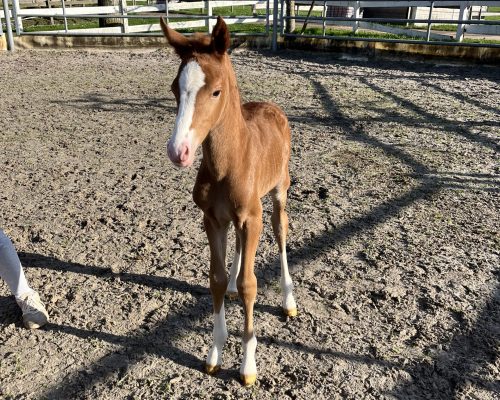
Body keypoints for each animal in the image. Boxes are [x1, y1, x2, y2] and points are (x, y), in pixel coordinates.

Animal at [161, 17, 296, 386]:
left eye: (216, 91)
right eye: (175, 89)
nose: (178, 151)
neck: (228, 163)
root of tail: (271, 106)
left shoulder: (253, 217)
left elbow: (251, 285)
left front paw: (248, 366)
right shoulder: (213, 218)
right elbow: (218, 279)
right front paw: (214, 354)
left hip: (278, 192)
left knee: (281, 234)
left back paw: (289, 299)